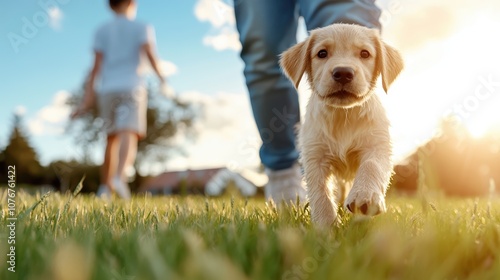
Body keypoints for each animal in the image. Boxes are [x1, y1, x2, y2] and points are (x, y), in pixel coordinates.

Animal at [282, 23, 402, 226]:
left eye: (365, 53)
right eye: (322, 53)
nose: (343, 73)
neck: (343, 114)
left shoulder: (378, 144)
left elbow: (371, 165)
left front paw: (365, 196)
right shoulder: (314, 155)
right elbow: (320, 192)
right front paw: (326, 225)